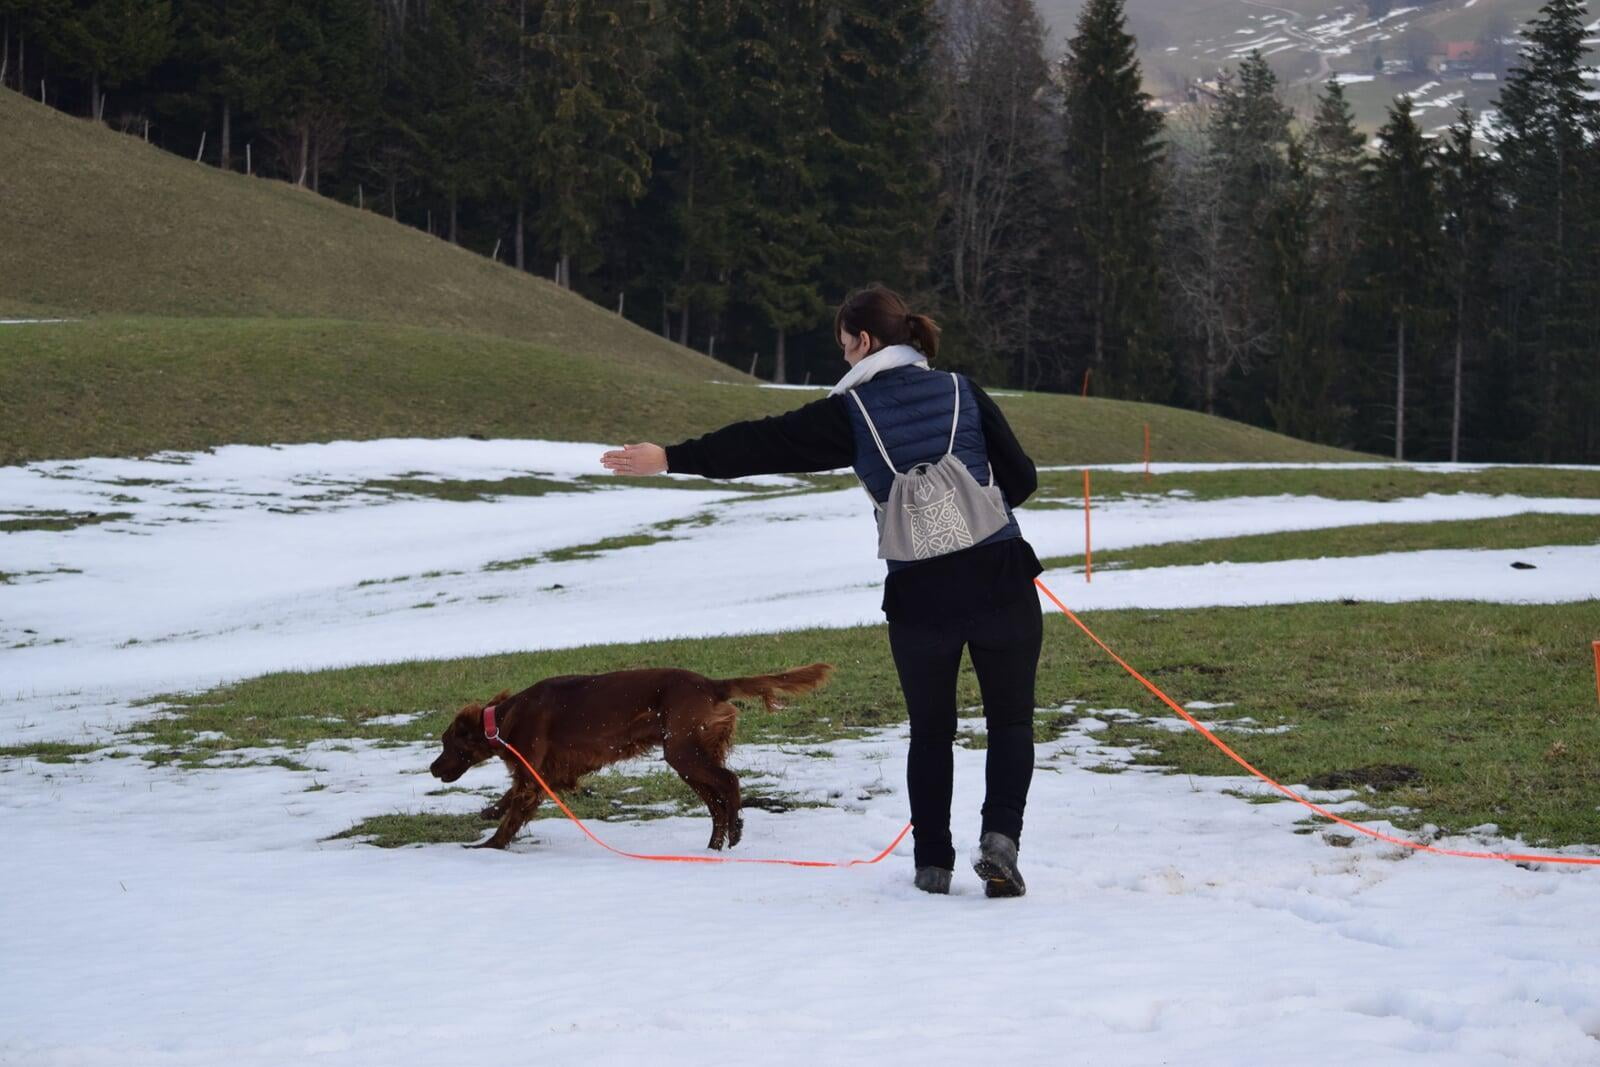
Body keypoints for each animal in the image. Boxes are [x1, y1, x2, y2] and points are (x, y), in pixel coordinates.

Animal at [432, 668, 832, 851]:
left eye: (446, 743)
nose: (433, 768)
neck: (501, 721)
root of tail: (710, 684)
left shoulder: (532, 772)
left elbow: (515, 808)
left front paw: (487, 846)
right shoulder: (550, 773)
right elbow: (511, 799)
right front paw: (489, 813)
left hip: (684, 753)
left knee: (729, 784)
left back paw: (733, 834)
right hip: (688, 758)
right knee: (716, 804)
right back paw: (714, 846)